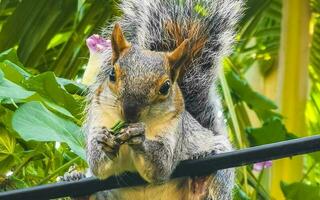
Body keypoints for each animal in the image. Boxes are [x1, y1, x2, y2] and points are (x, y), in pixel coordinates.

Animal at [72, 0, 242, 199]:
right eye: (112, 74)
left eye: (165, 87)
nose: (130, 112)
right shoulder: (100, 115)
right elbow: (97, 165)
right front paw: (104, 141)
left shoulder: (174, 130)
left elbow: (162, 164)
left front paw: (140, 137)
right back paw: (75, 182)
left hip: (219, 167)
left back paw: (201, 182)